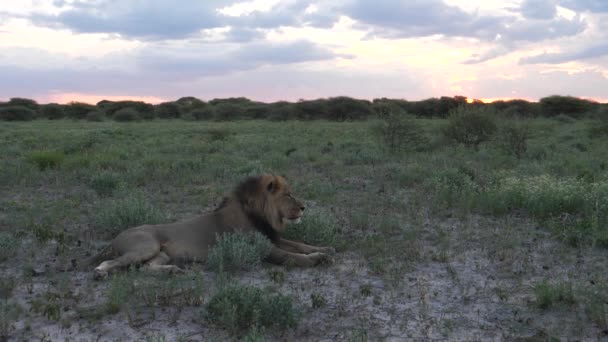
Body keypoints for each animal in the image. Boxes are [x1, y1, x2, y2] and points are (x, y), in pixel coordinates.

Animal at [83, 172, 334, 280]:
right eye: (289, 195)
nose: (304, 207)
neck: (260, 214)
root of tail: (115, 237)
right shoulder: (265, 248)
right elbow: (293, 256)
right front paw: (318, 258)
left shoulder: (273, 238)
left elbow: (300, 244)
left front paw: (325, 248)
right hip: (146, 246)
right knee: (114, 262)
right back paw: (100, 273)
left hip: (161, 254)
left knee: (144, 268)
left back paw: (172, 271)